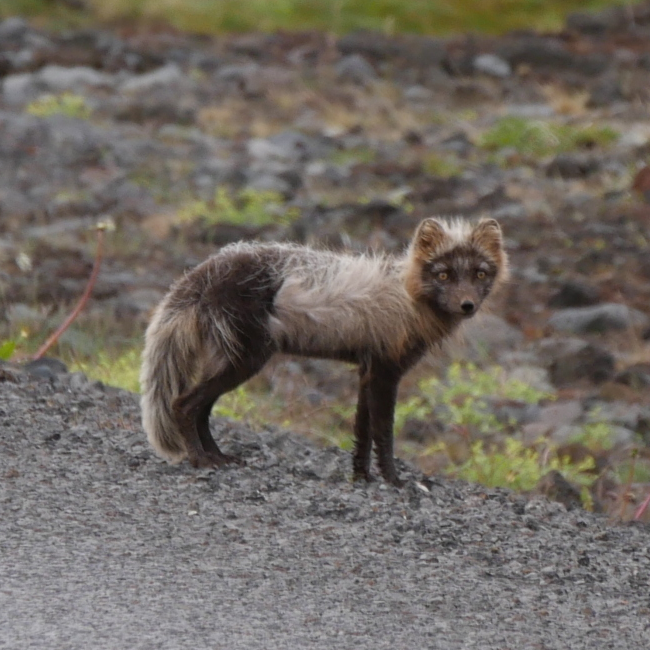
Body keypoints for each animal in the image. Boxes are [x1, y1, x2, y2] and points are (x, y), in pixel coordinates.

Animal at [140, 217, 508, 486]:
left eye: (480, 273)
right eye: (443, 274)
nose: (467, 305)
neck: (407, 298)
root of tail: (204, 271)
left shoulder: (367, 371)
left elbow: (362, 433)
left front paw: (361, 478)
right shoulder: (386, 372)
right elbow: (384, 435)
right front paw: (394, 482)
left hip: (229, 361)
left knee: (201, 410)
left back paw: (219, 457)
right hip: (245, 360)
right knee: (184, 405)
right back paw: (200, 460)